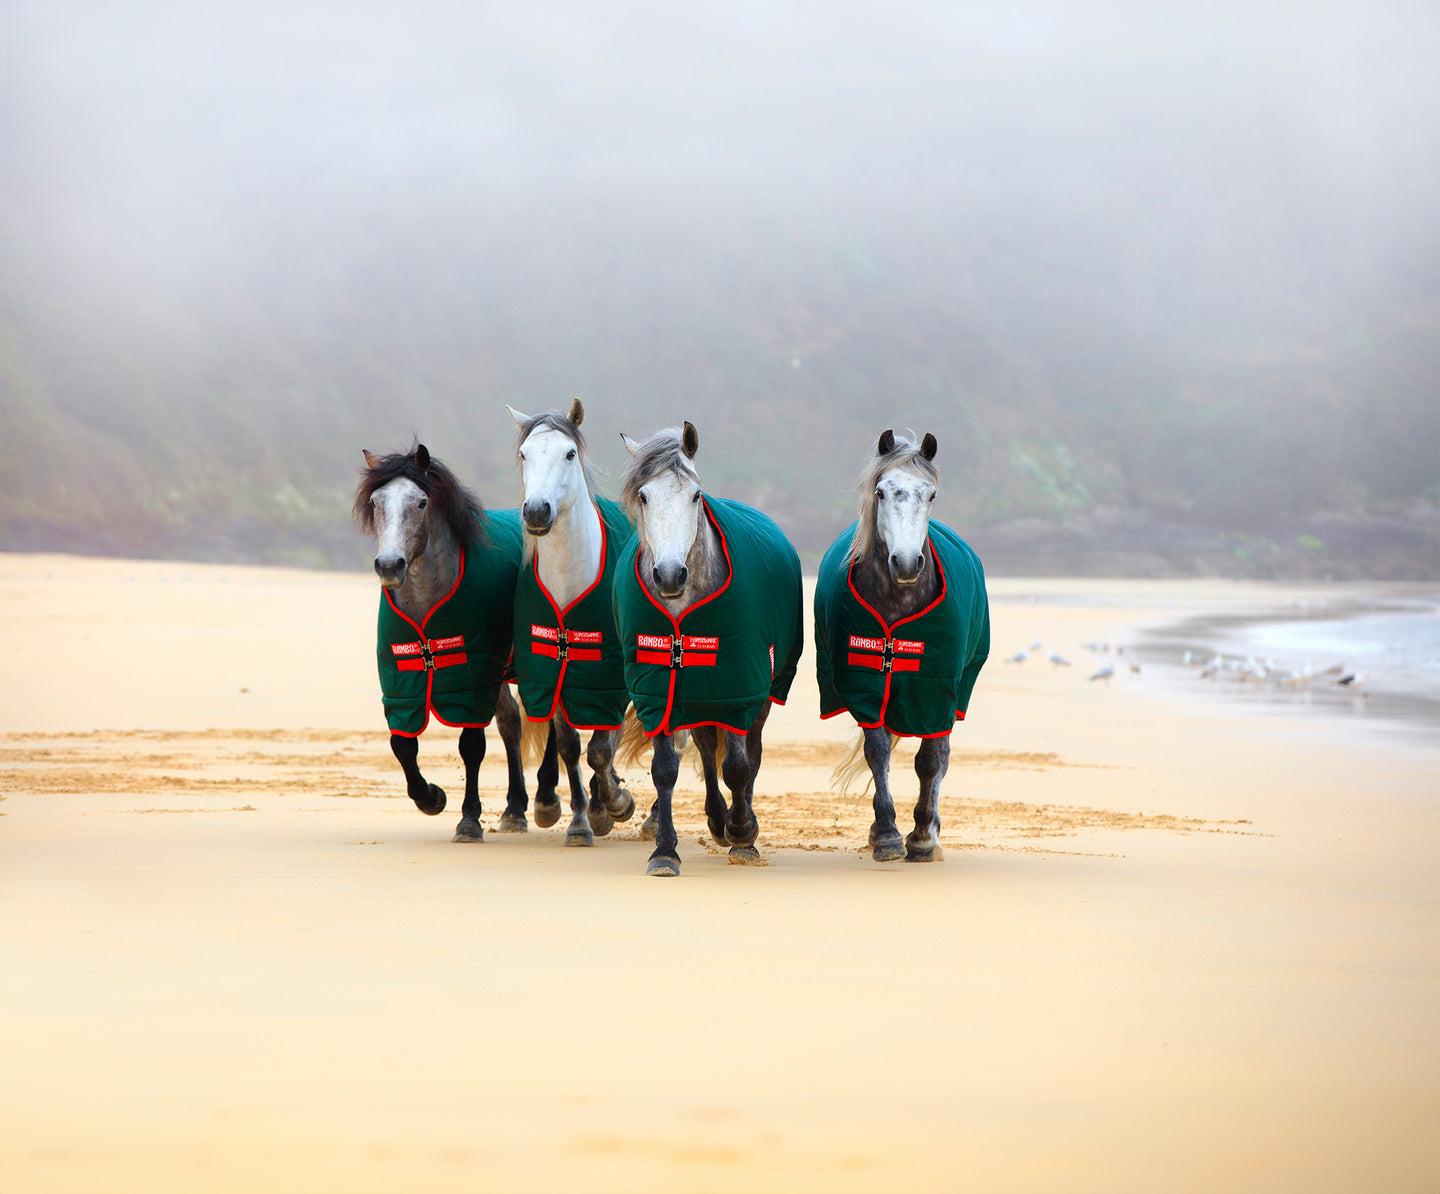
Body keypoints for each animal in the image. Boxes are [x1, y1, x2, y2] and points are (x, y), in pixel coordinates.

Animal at [351, 443, 532, 841]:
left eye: (421, 502)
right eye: (375, 502)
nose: (390, 565)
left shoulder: (473, 679)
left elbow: (471, 745)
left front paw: (468, 820)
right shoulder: (401, 680)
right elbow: (402, 743)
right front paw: (431, 797)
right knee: (512, 722)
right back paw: (515, 809)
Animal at [509, 394, 639, 841]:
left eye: (569, 453)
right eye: (525, 454)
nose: (536, 511)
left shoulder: (611, 677)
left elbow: (600, 750)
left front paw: (614, 804)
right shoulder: (553, 672)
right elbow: (569, 745)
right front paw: (582, 821)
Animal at [610, 420, 806, 875]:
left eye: (695, 495)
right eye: (643, 495)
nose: (668, 575)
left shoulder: (739, 688)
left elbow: (737, 766)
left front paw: (742, 833)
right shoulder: (658, 691)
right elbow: (666, 769)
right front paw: (665, 851)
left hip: (760, 692)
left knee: (751, 753)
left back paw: (738, 825)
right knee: (704, 746)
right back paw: (717, 820)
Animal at [817, 429, 996, 858]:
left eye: (930, 495)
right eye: (881, 492)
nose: (907, 563)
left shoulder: (936, 689)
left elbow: (930, 761)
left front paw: (922, 836)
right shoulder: (864, 686)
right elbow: (877, 752)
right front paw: (885, 833)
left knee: (942, 756)